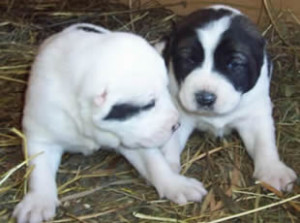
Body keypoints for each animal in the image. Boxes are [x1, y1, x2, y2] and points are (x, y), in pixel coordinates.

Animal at [13, 23, 206, 223]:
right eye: (148, 104)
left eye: (167, 89)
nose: (176, 125)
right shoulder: (40, 135)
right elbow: (39, 168)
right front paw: (38, 201)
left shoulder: (135, 138)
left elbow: (155, 163)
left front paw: (176, 184)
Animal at [159, 4, 298, 198]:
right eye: (188, 60)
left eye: (234, 64)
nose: (205, 98)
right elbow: (169, 142)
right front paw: (171, 177)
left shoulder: (255, 114)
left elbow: (264, 141)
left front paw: (273, 171)